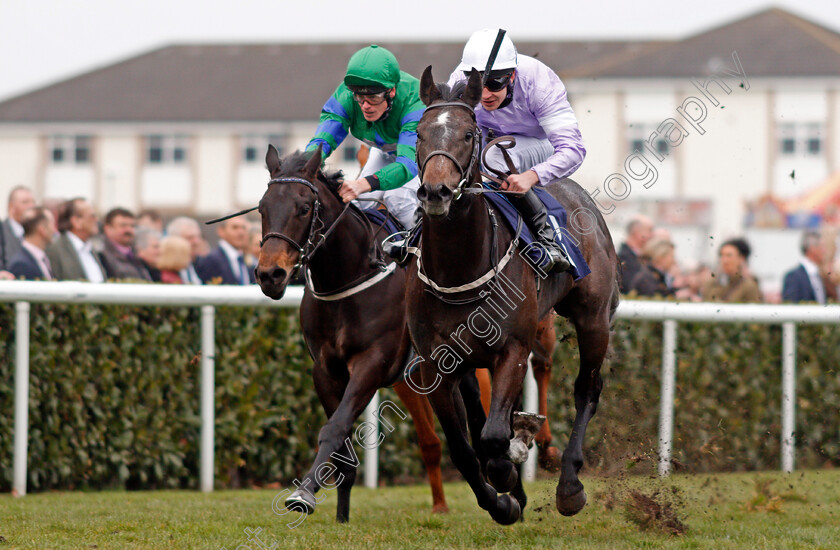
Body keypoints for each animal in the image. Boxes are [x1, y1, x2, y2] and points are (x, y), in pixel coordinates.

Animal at [256, 148, 450, 528]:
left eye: (304, 207)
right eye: (261, 208)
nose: (270, 274)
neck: (347, 276)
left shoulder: (372, 362)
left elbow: (336, 426)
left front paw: (302, 494)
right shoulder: (325, 369)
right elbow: (340, 435)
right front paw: (341, 514)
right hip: (414, 376)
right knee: (430, 440)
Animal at [406, 69, 624, 528]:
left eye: (469, 133)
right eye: (418, 133)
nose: (435, 193)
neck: (458, 269)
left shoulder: (513, 347)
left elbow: (491, 437)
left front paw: (510, 468)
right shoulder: (436, 364)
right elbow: (464, 447)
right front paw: (503, 502)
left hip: (594, 317)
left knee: (587, 389)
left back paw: (569, 485)